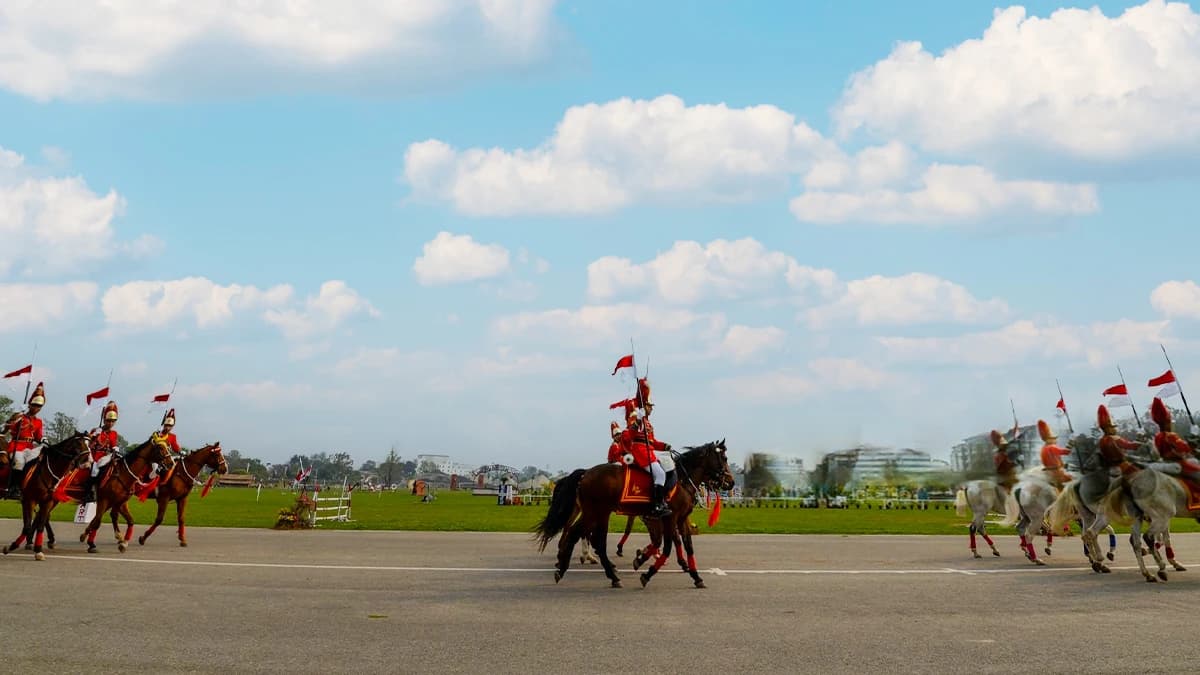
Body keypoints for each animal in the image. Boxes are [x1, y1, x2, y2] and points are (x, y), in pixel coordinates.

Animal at [532, 439, 729, 586]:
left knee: (588, 538)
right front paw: (647, 572)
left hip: (599, 513)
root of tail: (585, 474)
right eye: (724, 458)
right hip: (594, 512)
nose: (730, 482)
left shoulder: (679, 519)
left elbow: (686, 545)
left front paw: (695, 576)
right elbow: (667, 545)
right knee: (580, 534)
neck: (681, 479)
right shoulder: (669, 518)